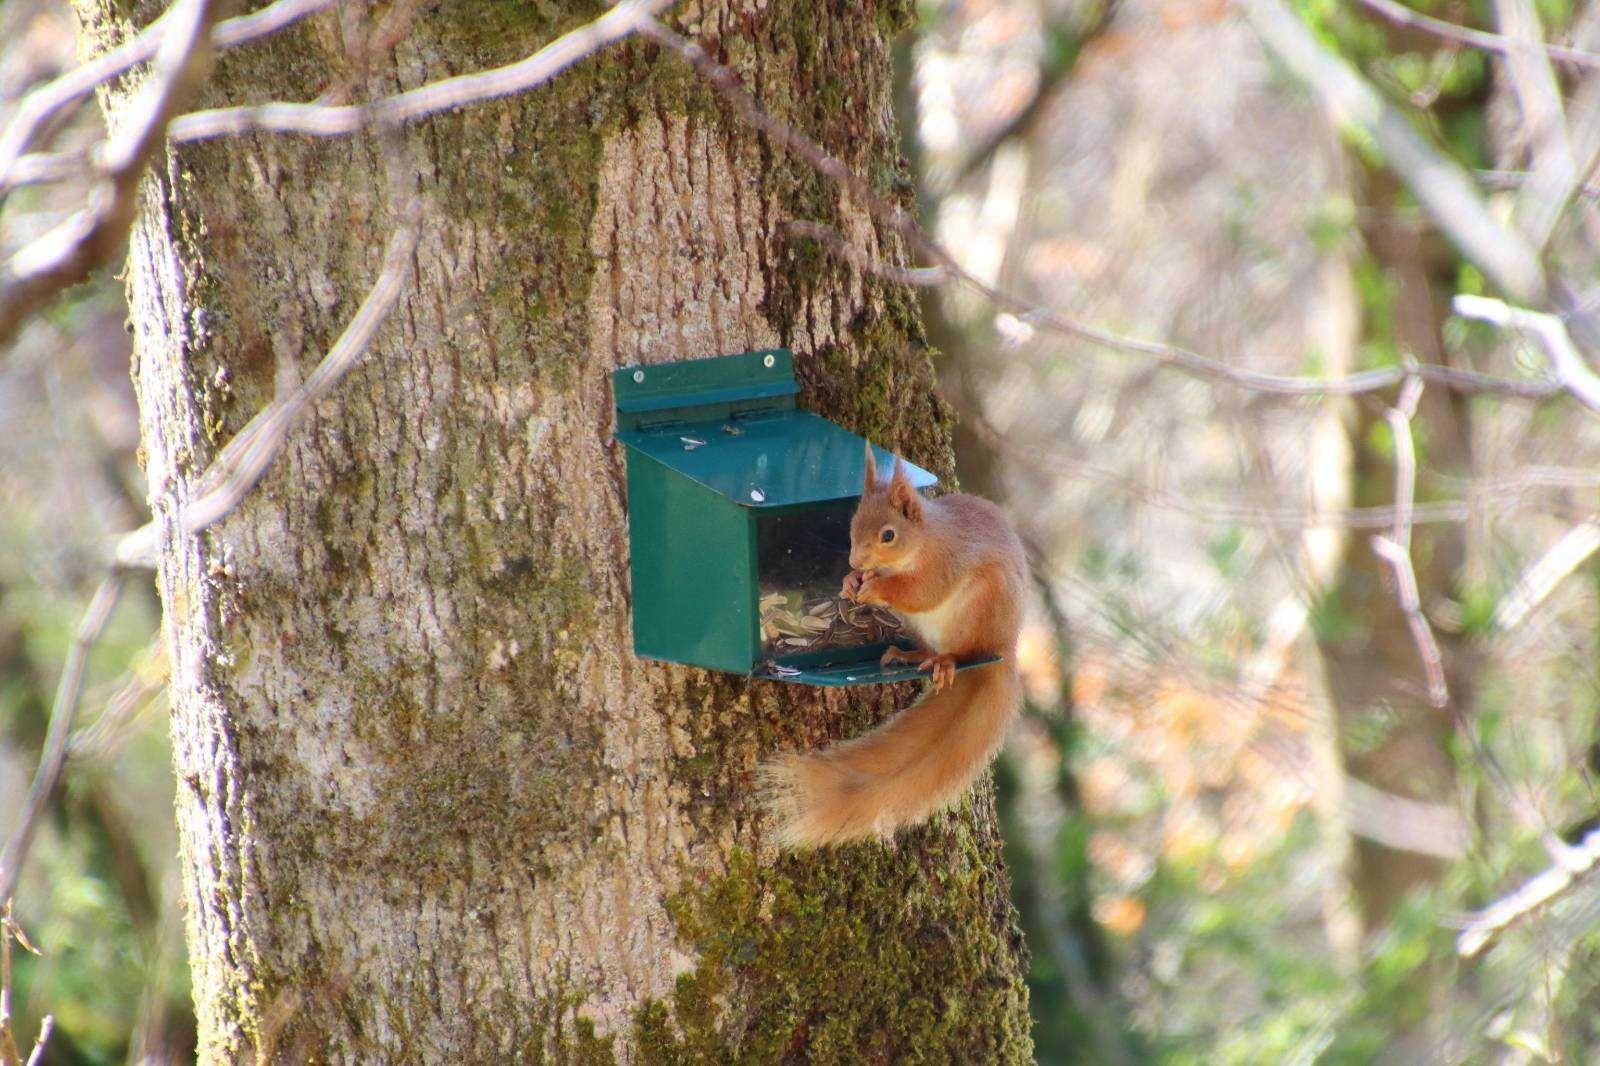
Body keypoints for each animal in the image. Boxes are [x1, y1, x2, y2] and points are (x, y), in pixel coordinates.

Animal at [758, 441, 1024, 845]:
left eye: (888, 535)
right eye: (853, 522)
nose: (855, 560)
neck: (923, 542)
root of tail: (1006, 648)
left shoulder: (945, 562)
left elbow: (921, 592)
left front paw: (874, 588)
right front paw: (851, 581)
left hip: (980, 609)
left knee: (965, 651)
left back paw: (946, 660)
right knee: (929, 647)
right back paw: (909, 653)